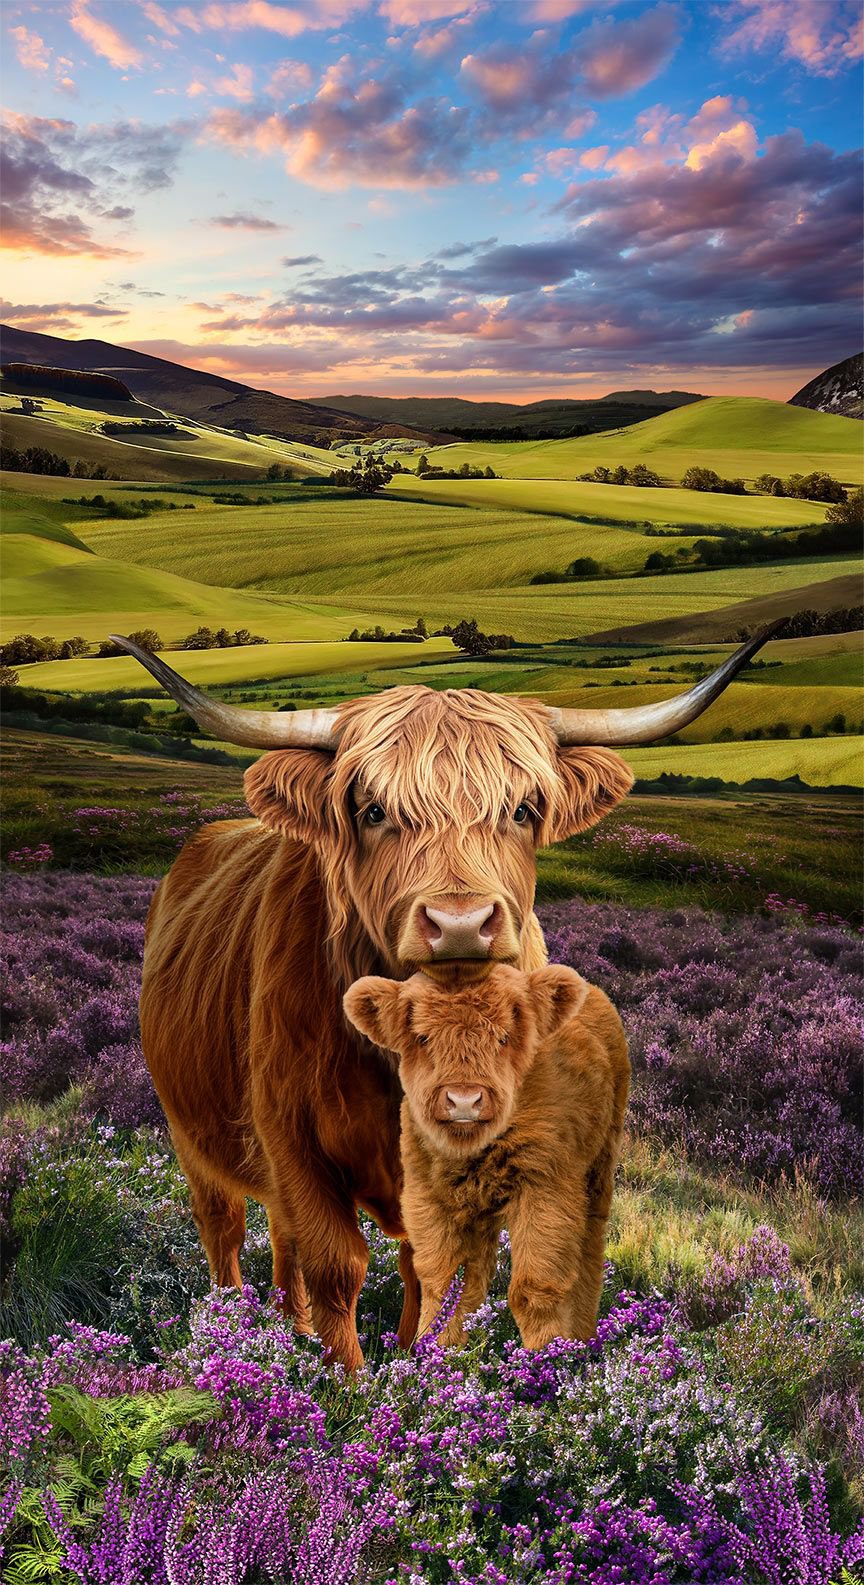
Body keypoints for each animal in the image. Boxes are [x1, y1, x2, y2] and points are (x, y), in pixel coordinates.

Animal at [343, 963, 629, 1351]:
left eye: (504, 1037)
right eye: (423, 1038)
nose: (464, 1100)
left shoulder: (546, 1193)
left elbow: (534, 1287)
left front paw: (547, 1355)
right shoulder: (429, 1197)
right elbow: (445, 1284)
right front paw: (435, 1350)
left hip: (598, 1175)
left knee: (589, 1253)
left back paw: (583, 1340)